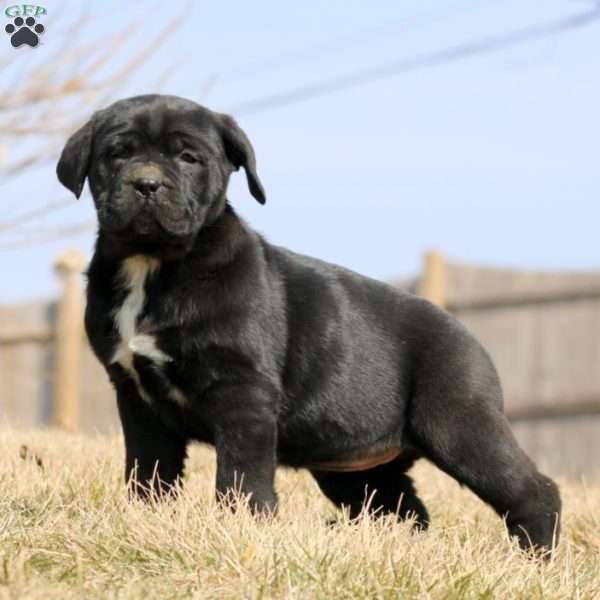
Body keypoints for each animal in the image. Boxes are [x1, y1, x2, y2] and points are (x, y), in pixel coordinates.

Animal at [55, 94, 556, 552]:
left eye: (188, 157)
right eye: (117, 154)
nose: (147, 184)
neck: (152, 264)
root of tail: (471, 338)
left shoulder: (243, 393)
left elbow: (241, 473)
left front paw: (243, 527)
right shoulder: (136, 396)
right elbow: (148, 467)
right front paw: (145, 517)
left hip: (459, 422)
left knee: (531, 490)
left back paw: (534, 558)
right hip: (356, 469)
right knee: (404, 510)